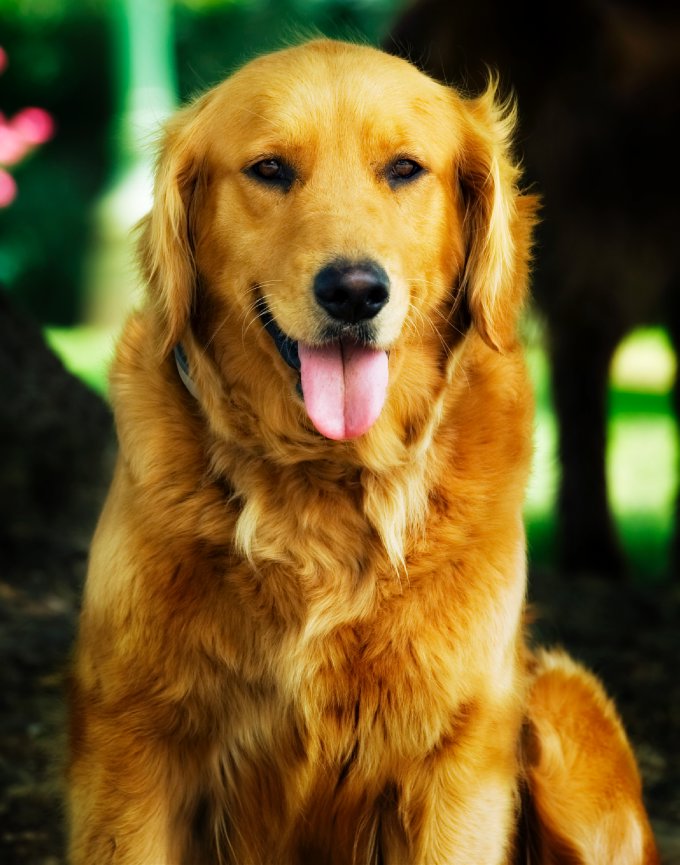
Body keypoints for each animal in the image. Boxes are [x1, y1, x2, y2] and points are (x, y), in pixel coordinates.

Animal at [67, 40, 660, 864]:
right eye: (270, 169)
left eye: (405, 169)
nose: (353, 291)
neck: (326, 483)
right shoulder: (131, 745)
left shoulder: (460, 763)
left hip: (561, 702)